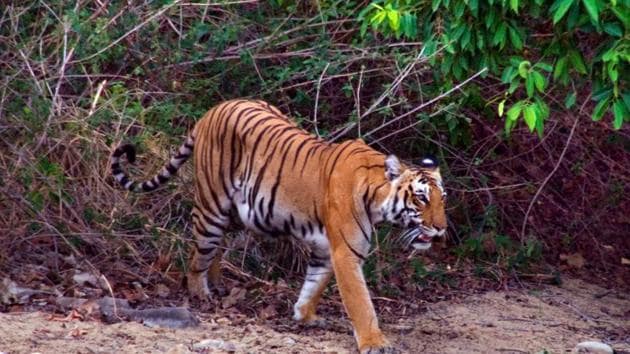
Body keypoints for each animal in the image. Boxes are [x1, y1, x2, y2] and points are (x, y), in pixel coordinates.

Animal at [113, 98, 450, 352]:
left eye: (442, 198)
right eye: (421, 198)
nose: (441, 228)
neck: (377, 199)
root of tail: (212, 110)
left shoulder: (326, 249)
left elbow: (314, 284)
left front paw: (304, 315)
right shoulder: (346, 252)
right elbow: (360, 302)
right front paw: (374, 343)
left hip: (238, 213)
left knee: (214, 248)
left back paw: (218, 282)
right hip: (213, 204)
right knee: (199, 251)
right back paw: (201, 292)